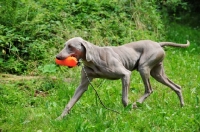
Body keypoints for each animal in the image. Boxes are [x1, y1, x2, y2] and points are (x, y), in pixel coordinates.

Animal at [55, 36, 189, 119]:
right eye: (65, 45)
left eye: (71, 46)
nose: (57, 56)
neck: (93, 59)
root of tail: (157, 43)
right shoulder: (83, 85)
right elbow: (70, 103)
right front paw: (60, 118)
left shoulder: (125, 74)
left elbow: (124, 99)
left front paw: (127, 111)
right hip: (157, 74)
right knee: (177, 87)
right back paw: (182, 106)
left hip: (143, 68)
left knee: (149, 89)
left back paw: (136, 104)